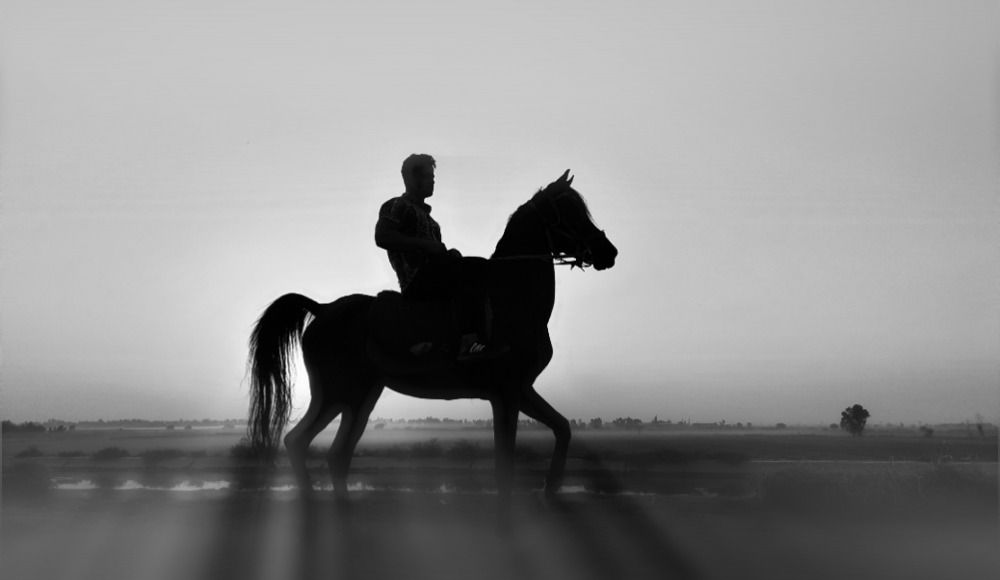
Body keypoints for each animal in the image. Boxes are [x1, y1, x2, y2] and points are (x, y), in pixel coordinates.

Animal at [246, 170, 618, 510]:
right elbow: (505, 465)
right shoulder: (508, 392)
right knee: (301, 442)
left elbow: (563, 428)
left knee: (335, 453)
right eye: (568, 212)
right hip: (338, 393)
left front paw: (551, 488)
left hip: (360, 398)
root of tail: (322, 309)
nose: (608, 251)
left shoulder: (521, 389)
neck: (512, 298)